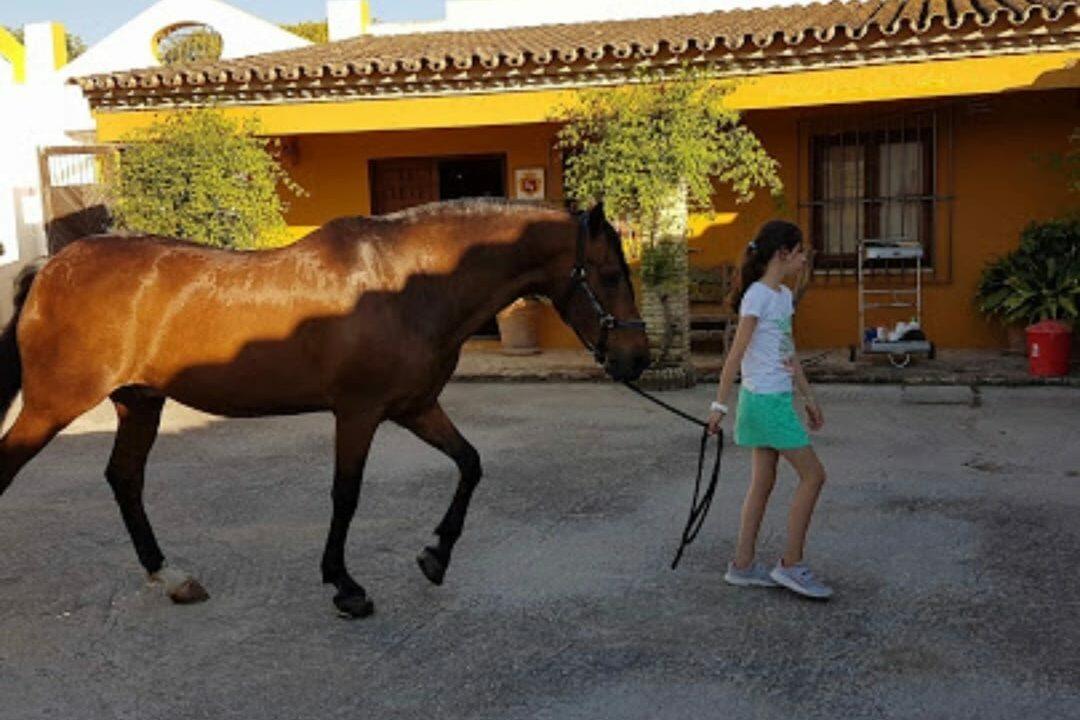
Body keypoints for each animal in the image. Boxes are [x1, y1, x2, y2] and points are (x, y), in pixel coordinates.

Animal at [0, 199, 648, 617]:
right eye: (610, 275)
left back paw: (173, 577)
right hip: (53, 406)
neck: (408, 286)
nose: (637, 358)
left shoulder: (415, 407)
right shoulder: (359, 412)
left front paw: (435, 555)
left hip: (140, 403)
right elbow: (346, 494)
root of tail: (52, 266)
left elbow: (470, 463)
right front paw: (345, 585)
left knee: (125, 479)